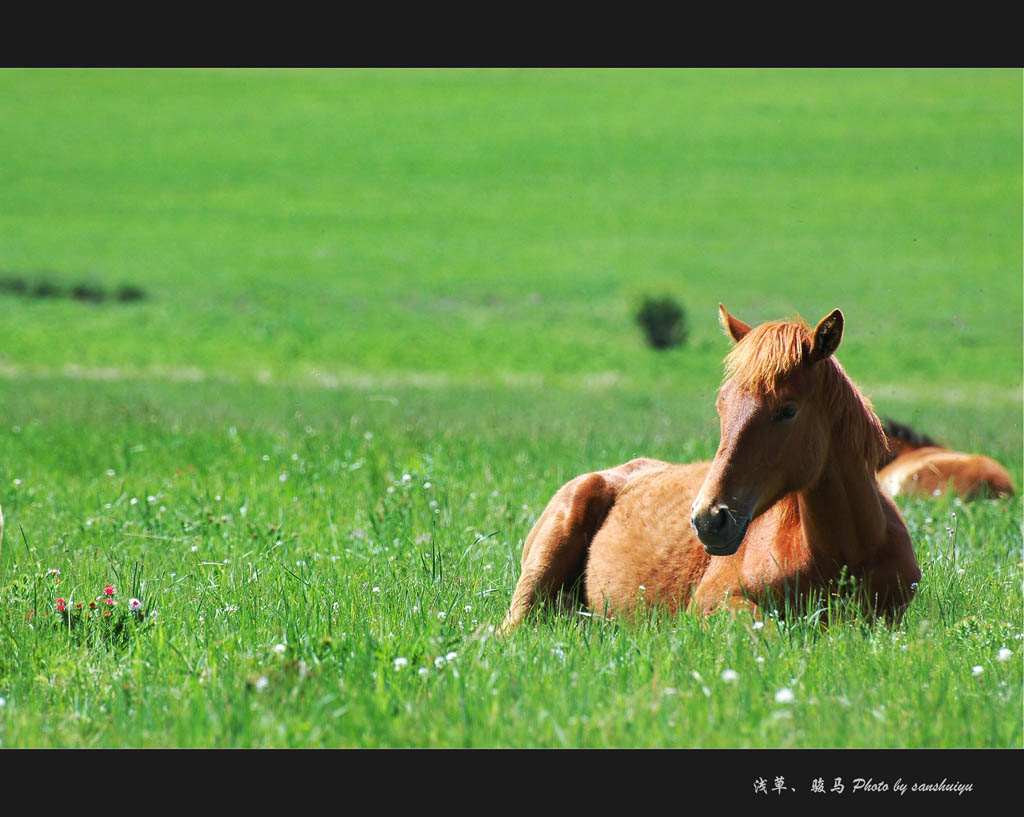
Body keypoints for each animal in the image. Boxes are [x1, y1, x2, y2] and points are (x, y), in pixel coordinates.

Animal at [499, 307, 925, 634]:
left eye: (787, 410)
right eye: (723, 404)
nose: (708, 519)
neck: (849, 551)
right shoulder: (712, 606)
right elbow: (766, 628)